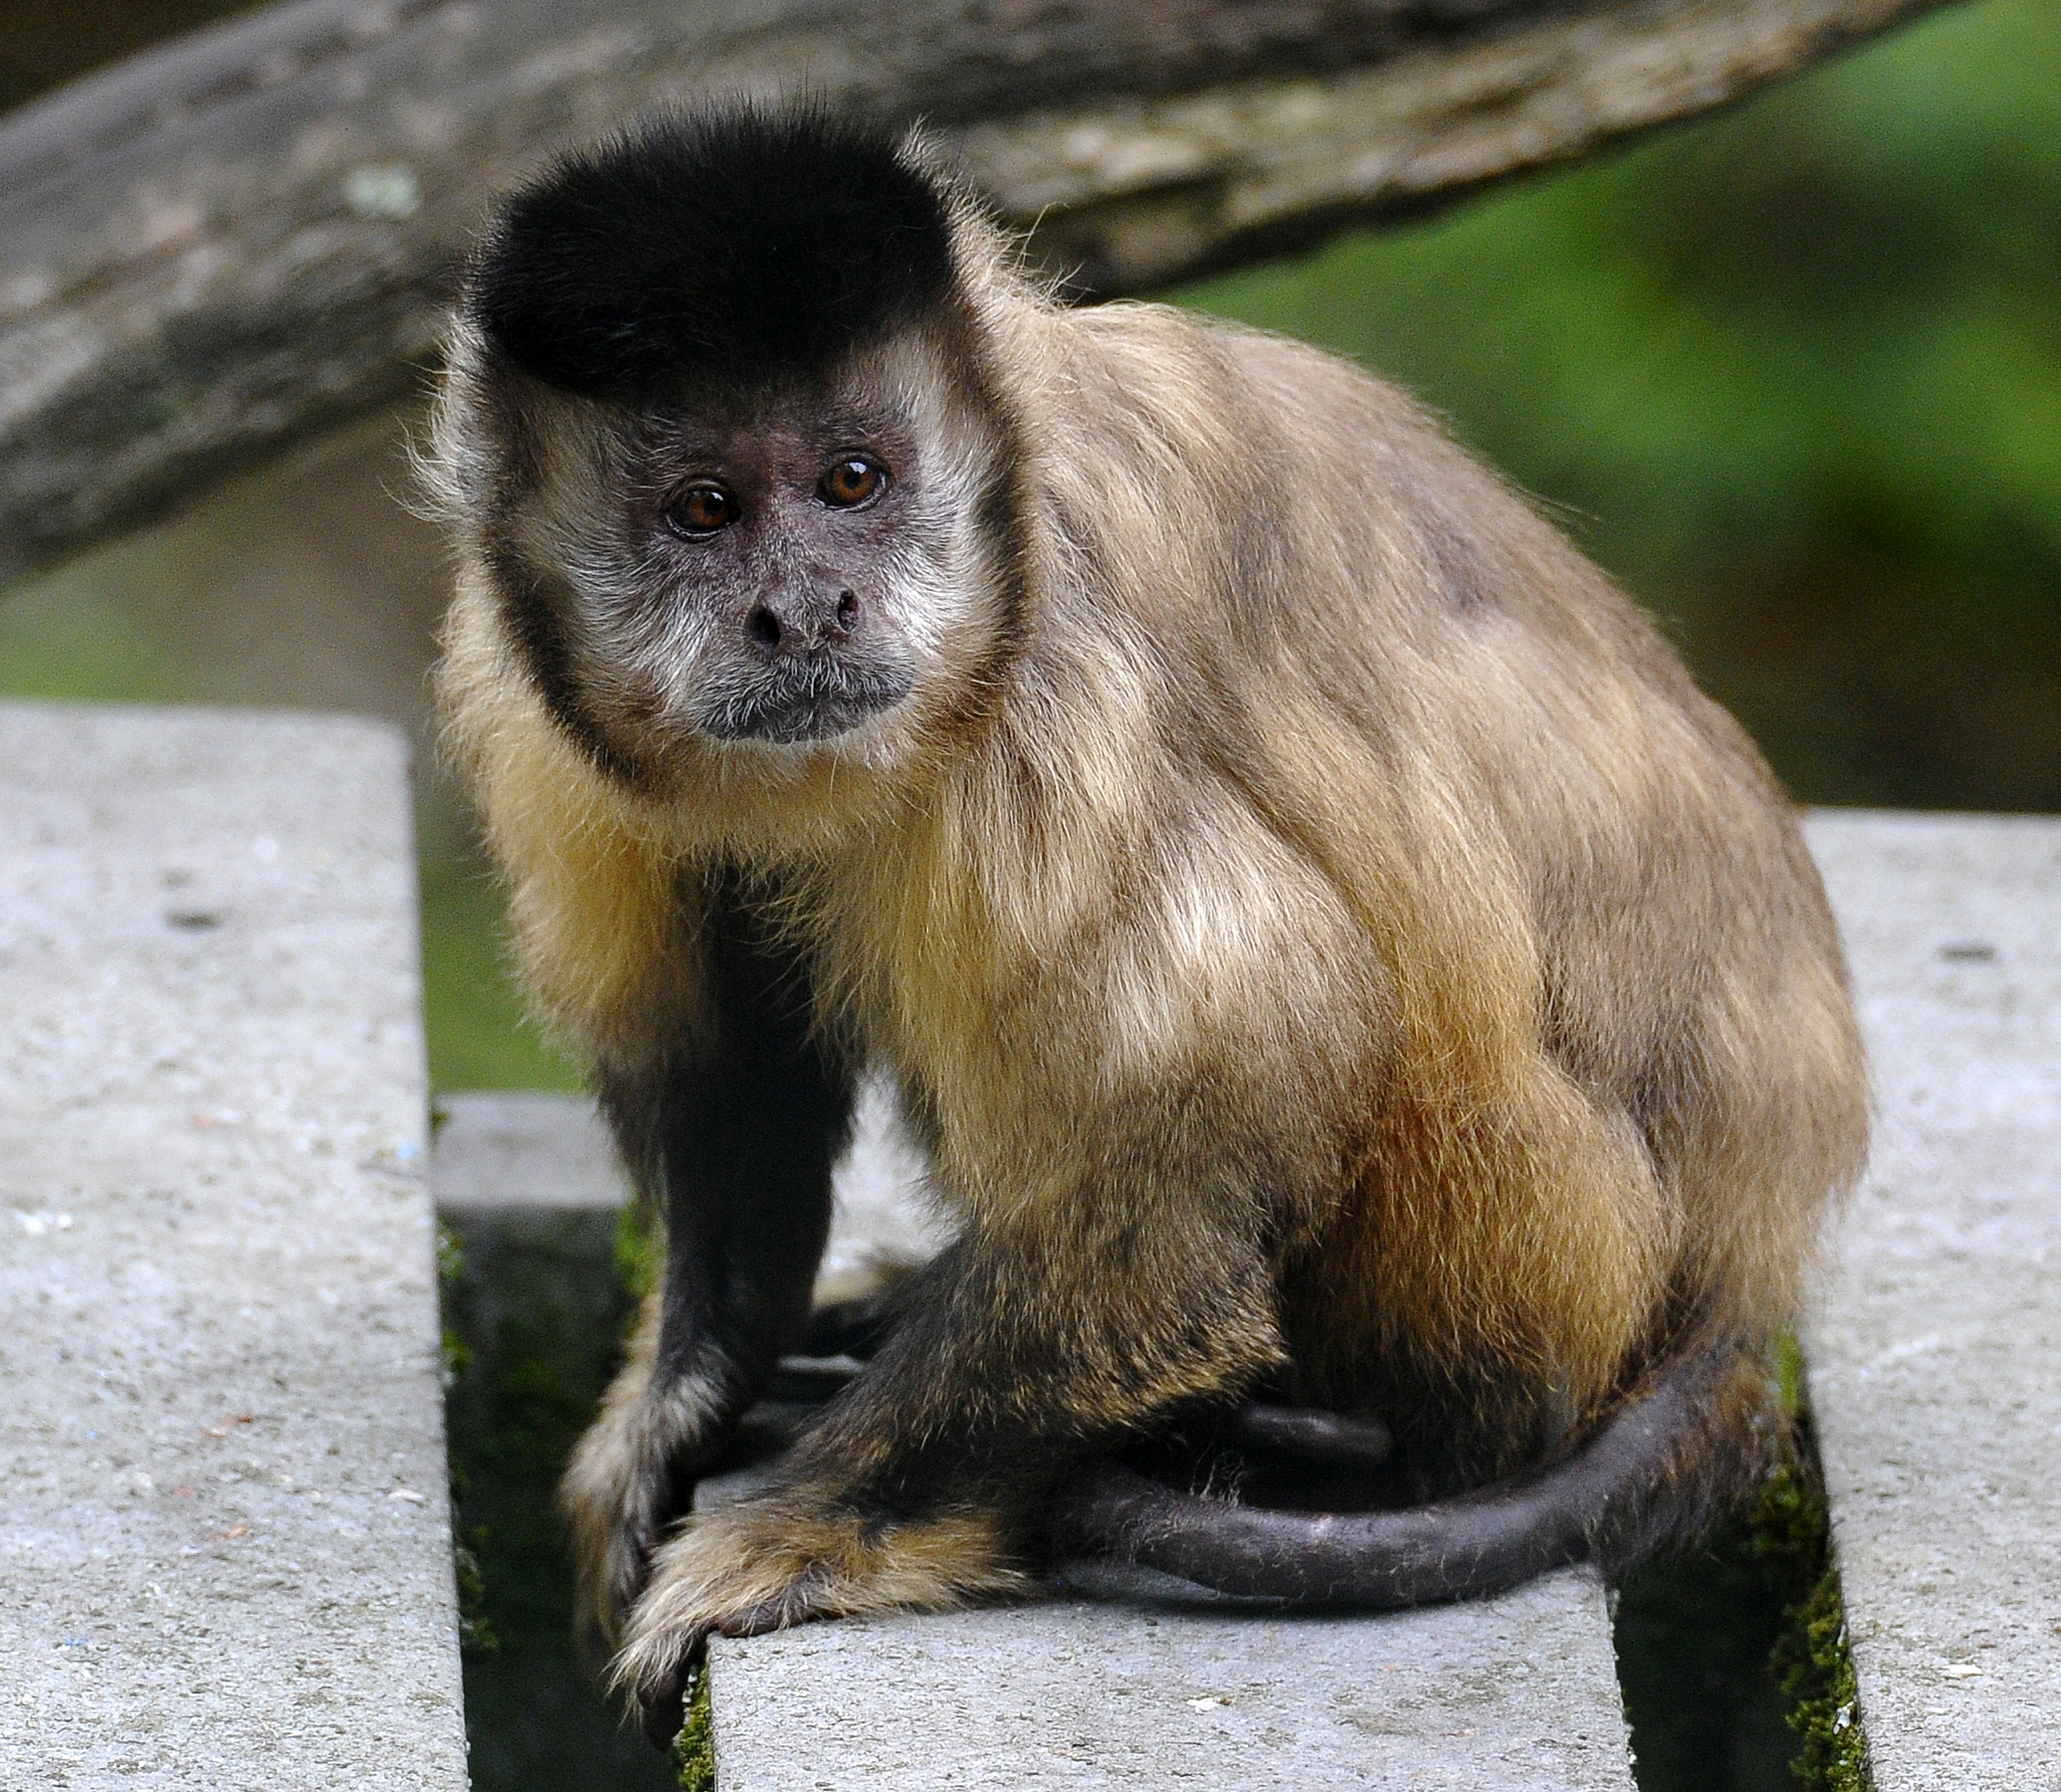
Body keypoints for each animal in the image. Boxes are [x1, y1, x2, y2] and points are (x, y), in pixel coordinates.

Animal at [423, 103, 1868, 1743]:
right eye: (706, 510)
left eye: (852, 482)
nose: (806, 609)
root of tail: (1751, 1249)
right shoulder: (531, 696)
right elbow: (723, 1071)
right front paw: (684, 1405)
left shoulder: (1053, 704)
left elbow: (1212, 1114)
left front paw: (815, 1525)